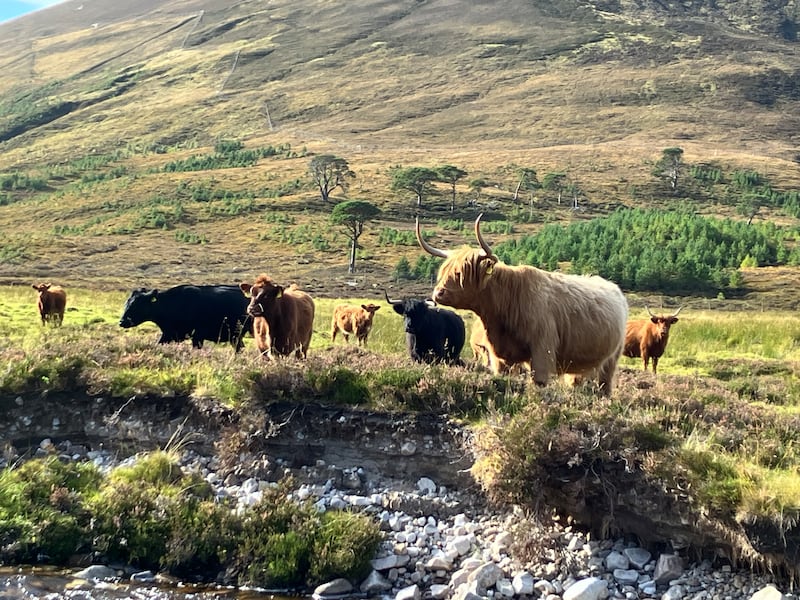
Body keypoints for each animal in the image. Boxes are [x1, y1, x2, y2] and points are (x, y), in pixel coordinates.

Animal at [118, 286, 250, 352]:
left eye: (137, 305)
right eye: (126, 303)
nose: (122, 322)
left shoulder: (197, 335)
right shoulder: (170, 334)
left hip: (236, 335)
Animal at [416, 216, 628, 394]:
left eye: (461, 273)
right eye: (444, 271)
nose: (438, 293)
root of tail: (615, 289)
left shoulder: (542, 350)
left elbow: (539, 382)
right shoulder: (499, 358)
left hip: (612, 359)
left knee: (605, 385)